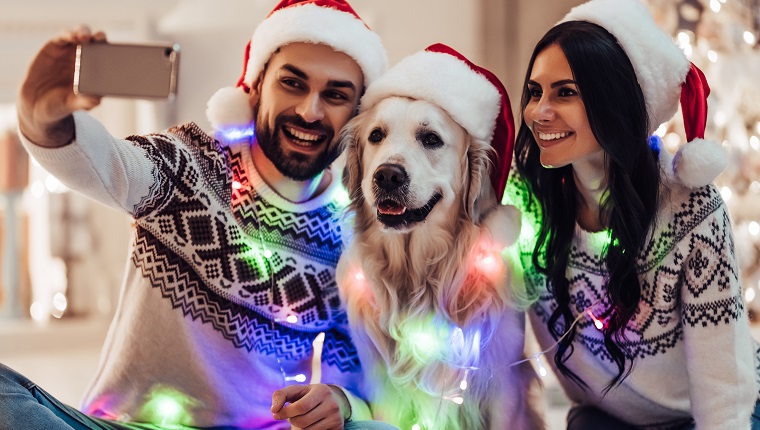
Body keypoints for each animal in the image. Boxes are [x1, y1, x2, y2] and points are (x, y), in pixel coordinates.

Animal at [336, 43, 544, 430]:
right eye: (376, 135)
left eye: (431, 139)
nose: (387, 175)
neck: (420, 273)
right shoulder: (385, 389)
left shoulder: (504, 386)